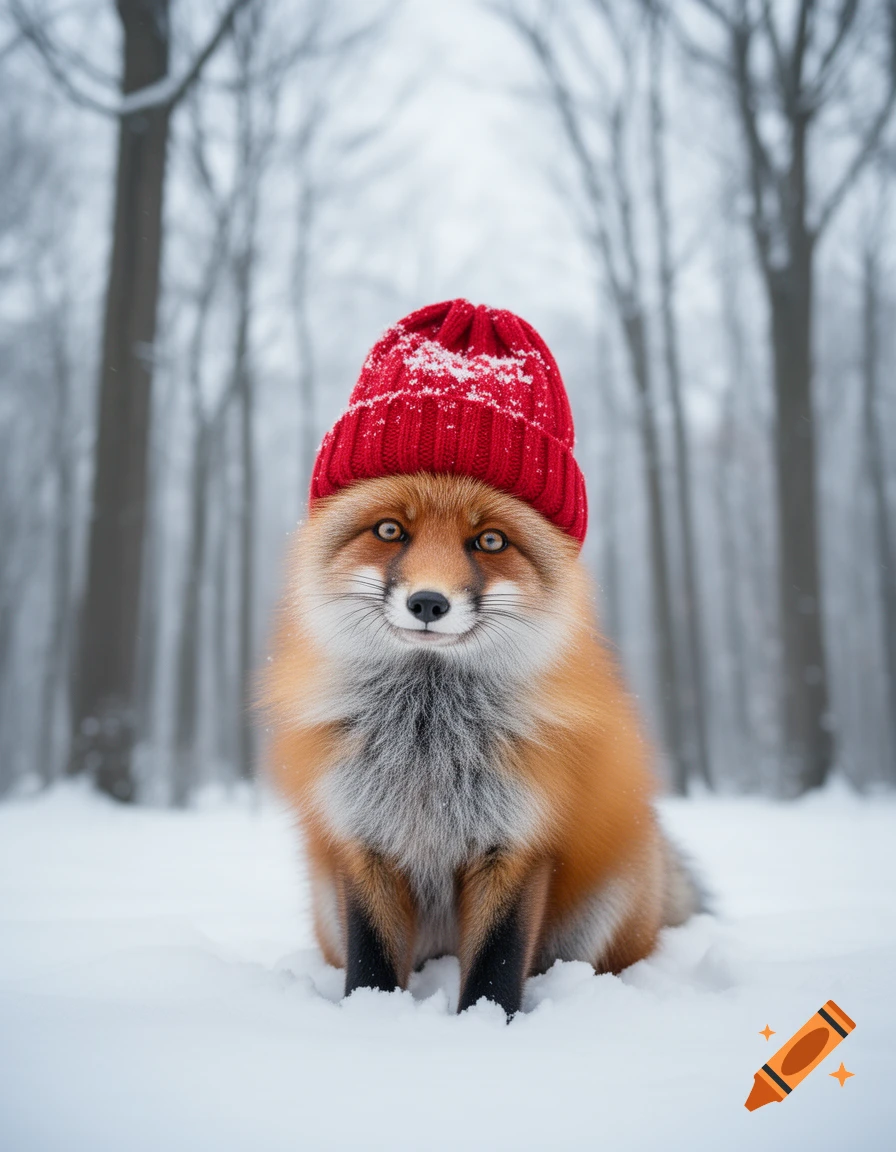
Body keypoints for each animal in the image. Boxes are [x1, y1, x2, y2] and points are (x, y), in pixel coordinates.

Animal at [260, 469, 703, 1018]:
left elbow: (498, 960)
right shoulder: (364, 839)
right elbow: (372, 959)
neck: (427, 739)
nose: (428, 603)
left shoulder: (517, 843)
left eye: (490, 541)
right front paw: (374, 1015)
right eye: (389, 531)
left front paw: (486, 1024)